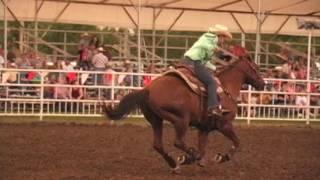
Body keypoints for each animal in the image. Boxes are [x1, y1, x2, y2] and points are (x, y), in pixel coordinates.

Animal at [103, 55, 264, 172]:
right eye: (256, 68)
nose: (263, 84)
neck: (226, 88)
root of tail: (148, 89)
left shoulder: (204, 128)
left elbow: (203, 147)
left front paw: (200, 161)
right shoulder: (224, 124)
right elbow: (237, 142)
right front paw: (221, 157)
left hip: (156, 120)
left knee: (158, 145)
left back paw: (175, 164)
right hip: (181, 120)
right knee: (178, 141)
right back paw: (188, 157)